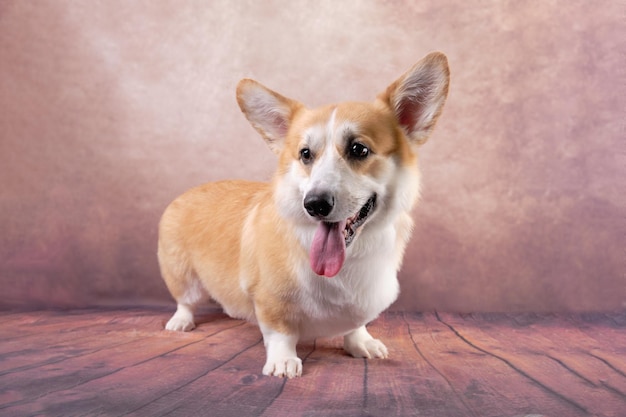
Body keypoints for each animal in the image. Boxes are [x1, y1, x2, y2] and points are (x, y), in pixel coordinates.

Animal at [157, 52, 448, 376]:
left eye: (359, 149)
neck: (349, 262)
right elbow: (280, 332)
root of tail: (187, 192)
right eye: (305, 154)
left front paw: (361, 343)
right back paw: (181, 321)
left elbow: (356, 324)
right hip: (181, 275)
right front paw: (283, 362)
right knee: (185, 300)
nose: (315, 204)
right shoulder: (269, 300)